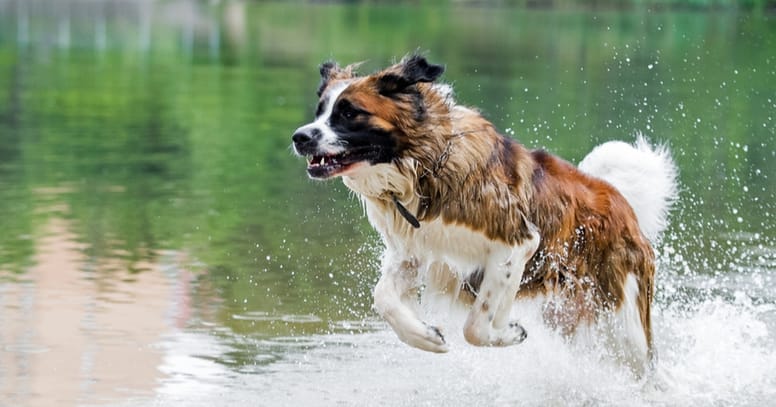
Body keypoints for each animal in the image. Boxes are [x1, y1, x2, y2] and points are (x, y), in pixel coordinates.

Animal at [288, 55, 676, 374]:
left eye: (349, 113)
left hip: (625, 324)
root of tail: (620, 199)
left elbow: (477, 325)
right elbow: (383, 298)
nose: (300, 137)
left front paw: (507, 332)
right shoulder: (413, 253)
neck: (423, 167)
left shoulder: (516, 244)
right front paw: (426, 336)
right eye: (321, 111)